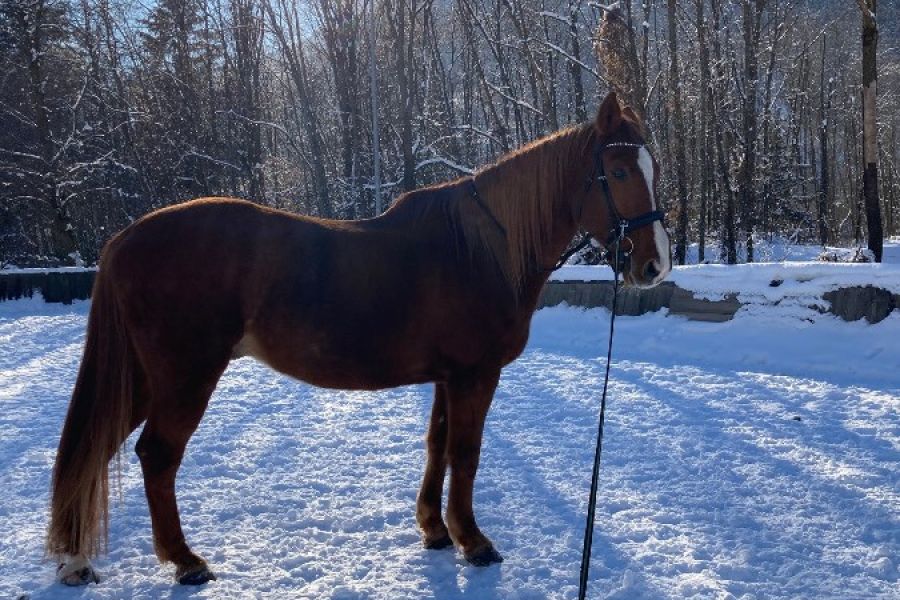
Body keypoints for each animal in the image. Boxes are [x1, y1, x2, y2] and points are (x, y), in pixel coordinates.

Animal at [47, 91, 668, 584]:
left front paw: (434, 532)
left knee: (95, 447)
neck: (481, 249)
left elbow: (437, 446)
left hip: (143, 378)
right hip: (184, 377)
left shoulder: (446, 377)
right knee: (156, 455)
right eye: (617, 172)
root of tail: (126, 238)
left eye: (652, 168)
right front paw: (473, 542)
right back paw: (185, 561)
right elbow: (465, 453)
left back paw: (76, 560)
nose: (654, 264)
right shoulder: (474, 375)